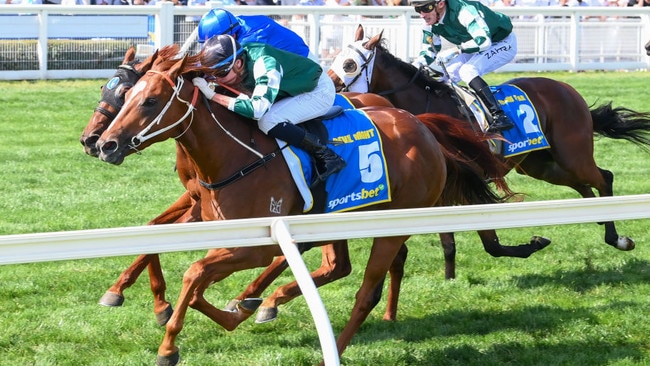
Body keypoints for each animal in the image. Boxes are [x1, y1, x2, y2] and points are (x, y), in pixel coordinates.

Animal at [92, 50, 502, 364]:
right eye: (122, 95)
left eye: (149, 100)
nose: (102, 144)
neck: (235, 157)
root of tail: (423, 127)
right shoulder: (215, 225)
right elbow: (188, 269)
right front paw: (231, 310)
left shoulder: (256, 245)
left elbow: (194, 274)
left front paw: (169, 344)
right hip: (338, 218)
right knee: (338, 266)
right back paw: (267, 302)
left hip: (394, 224)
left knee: (366, 291)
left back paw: (329, 344)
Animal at [326, 24, 648, 254]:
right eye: (336, 57)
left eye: (350, 65)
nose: (326, 87)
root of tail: (567, 89)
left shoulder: (470, 180)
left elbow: (491, 244)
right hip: (542, 166)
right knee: (585, 186)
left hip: (573, 155)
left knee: (604, 177)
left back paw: (618, 238)